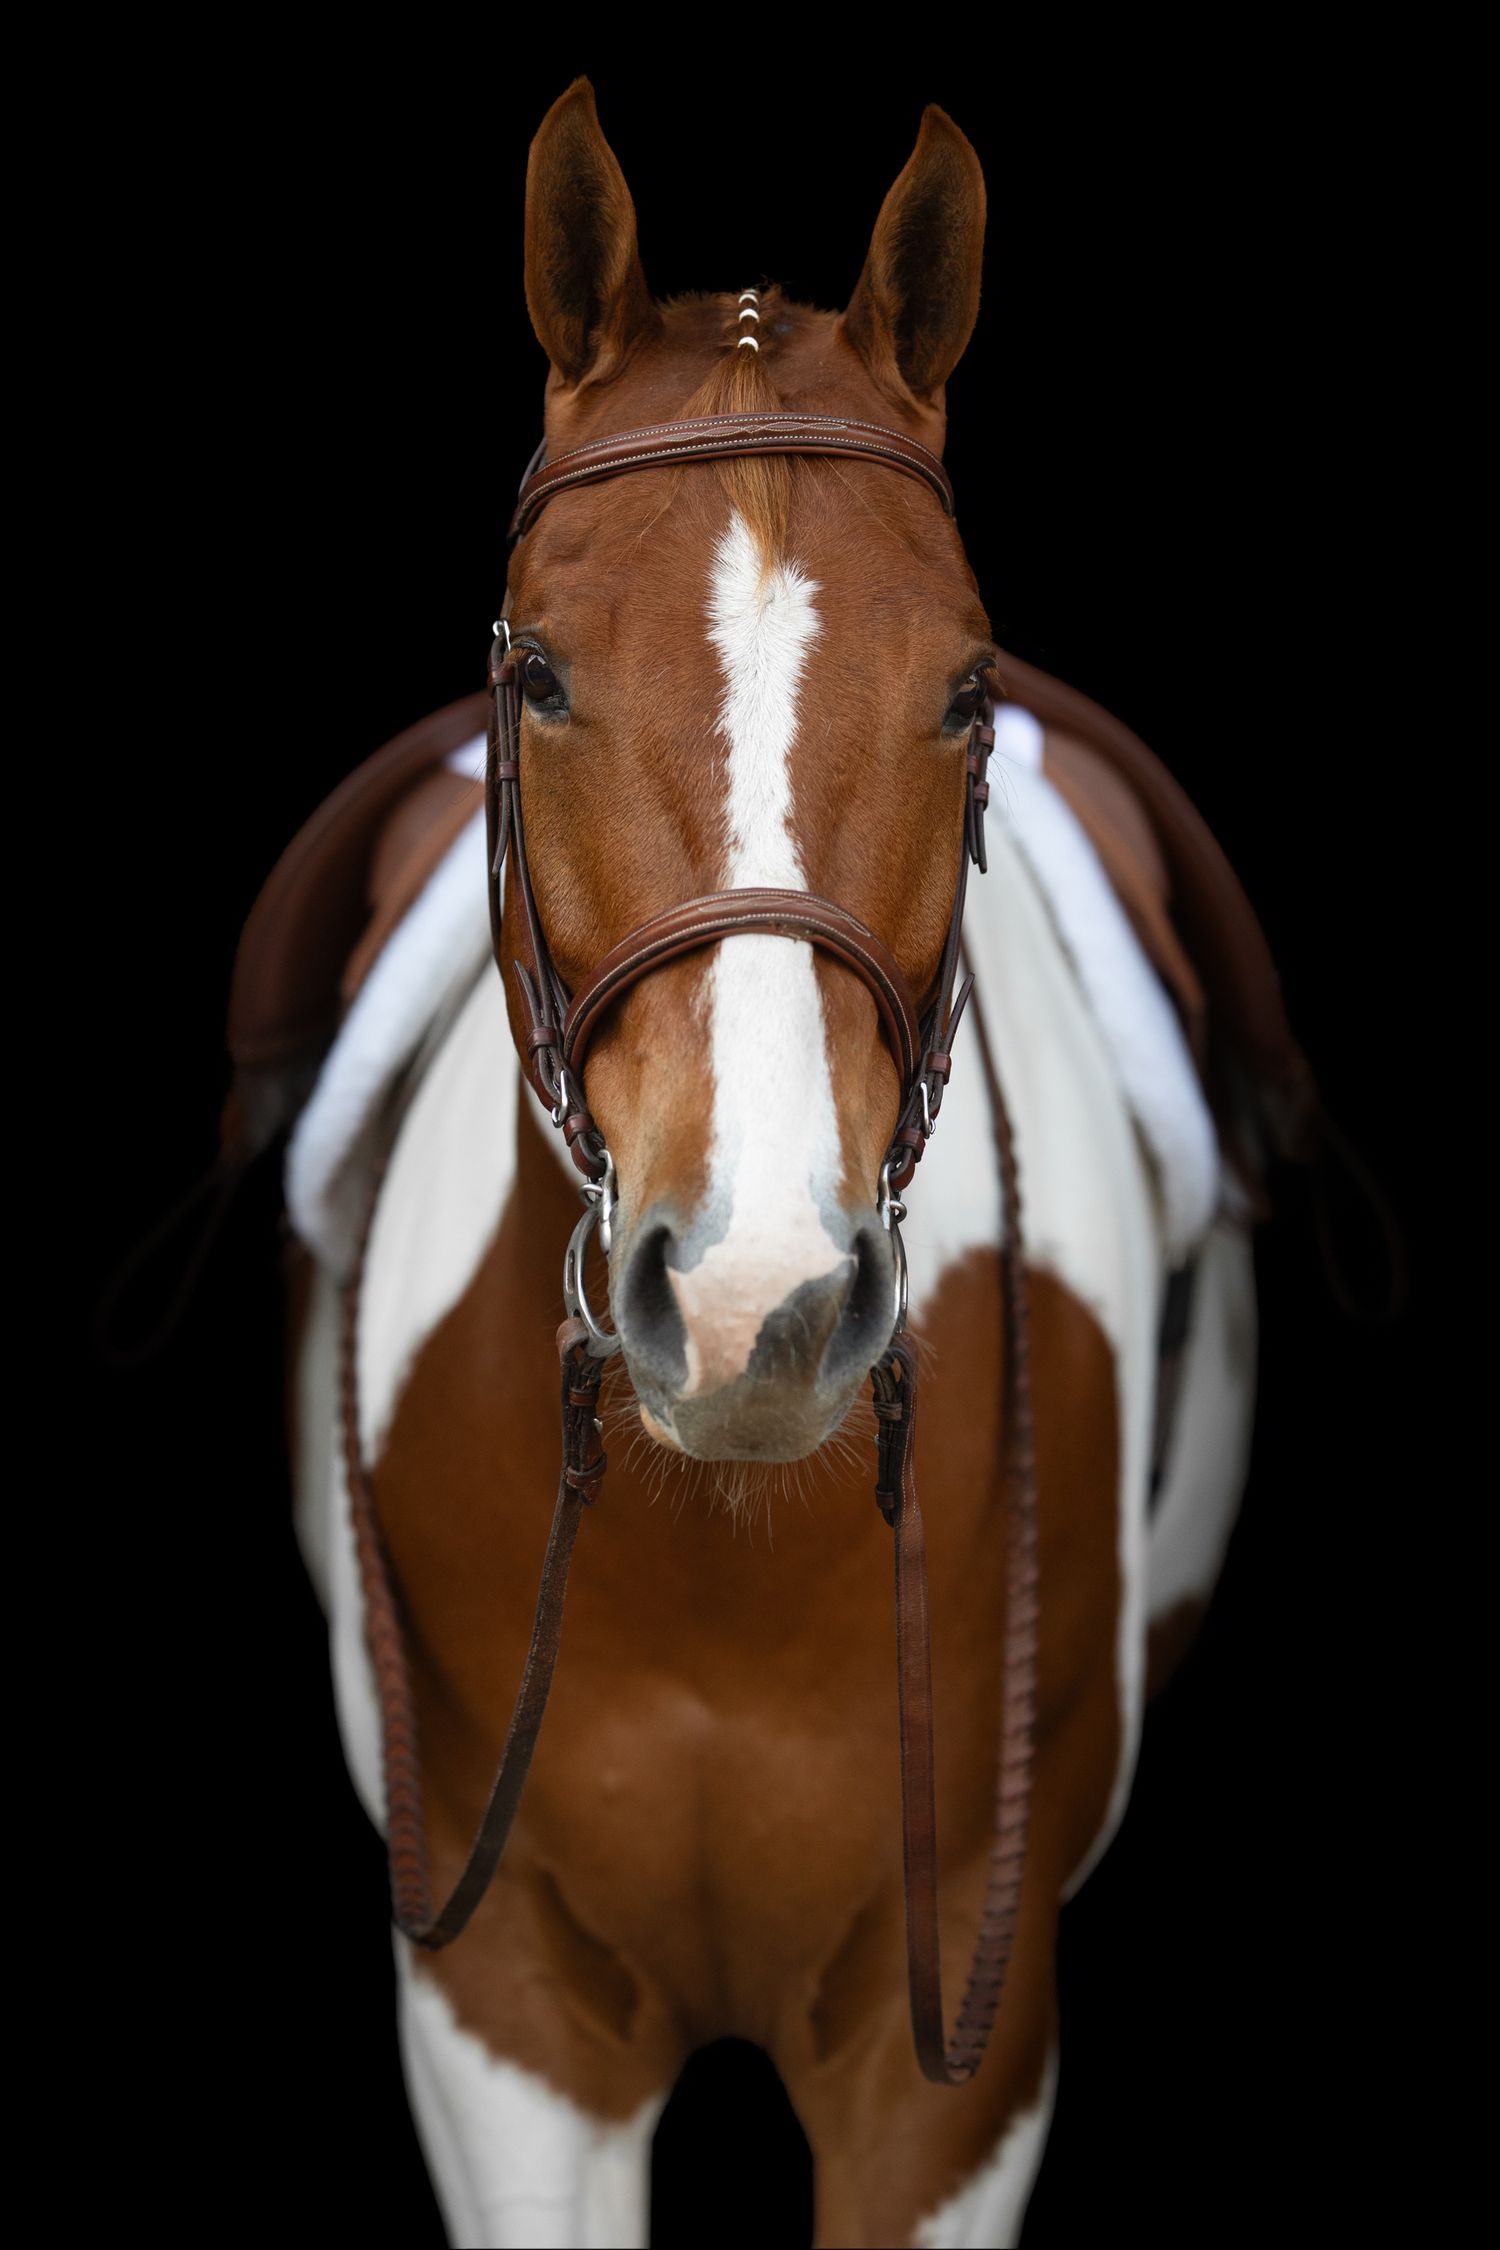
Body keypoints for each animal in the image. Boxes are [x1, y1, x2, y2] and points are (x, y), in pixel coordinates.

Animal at [271, 78, 1270, 2249]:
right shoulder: (503, 2024)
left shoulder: (954, 2043)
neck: (721, 1556)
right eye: (540, 672)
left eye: (969, 686)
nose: (755, 1306)